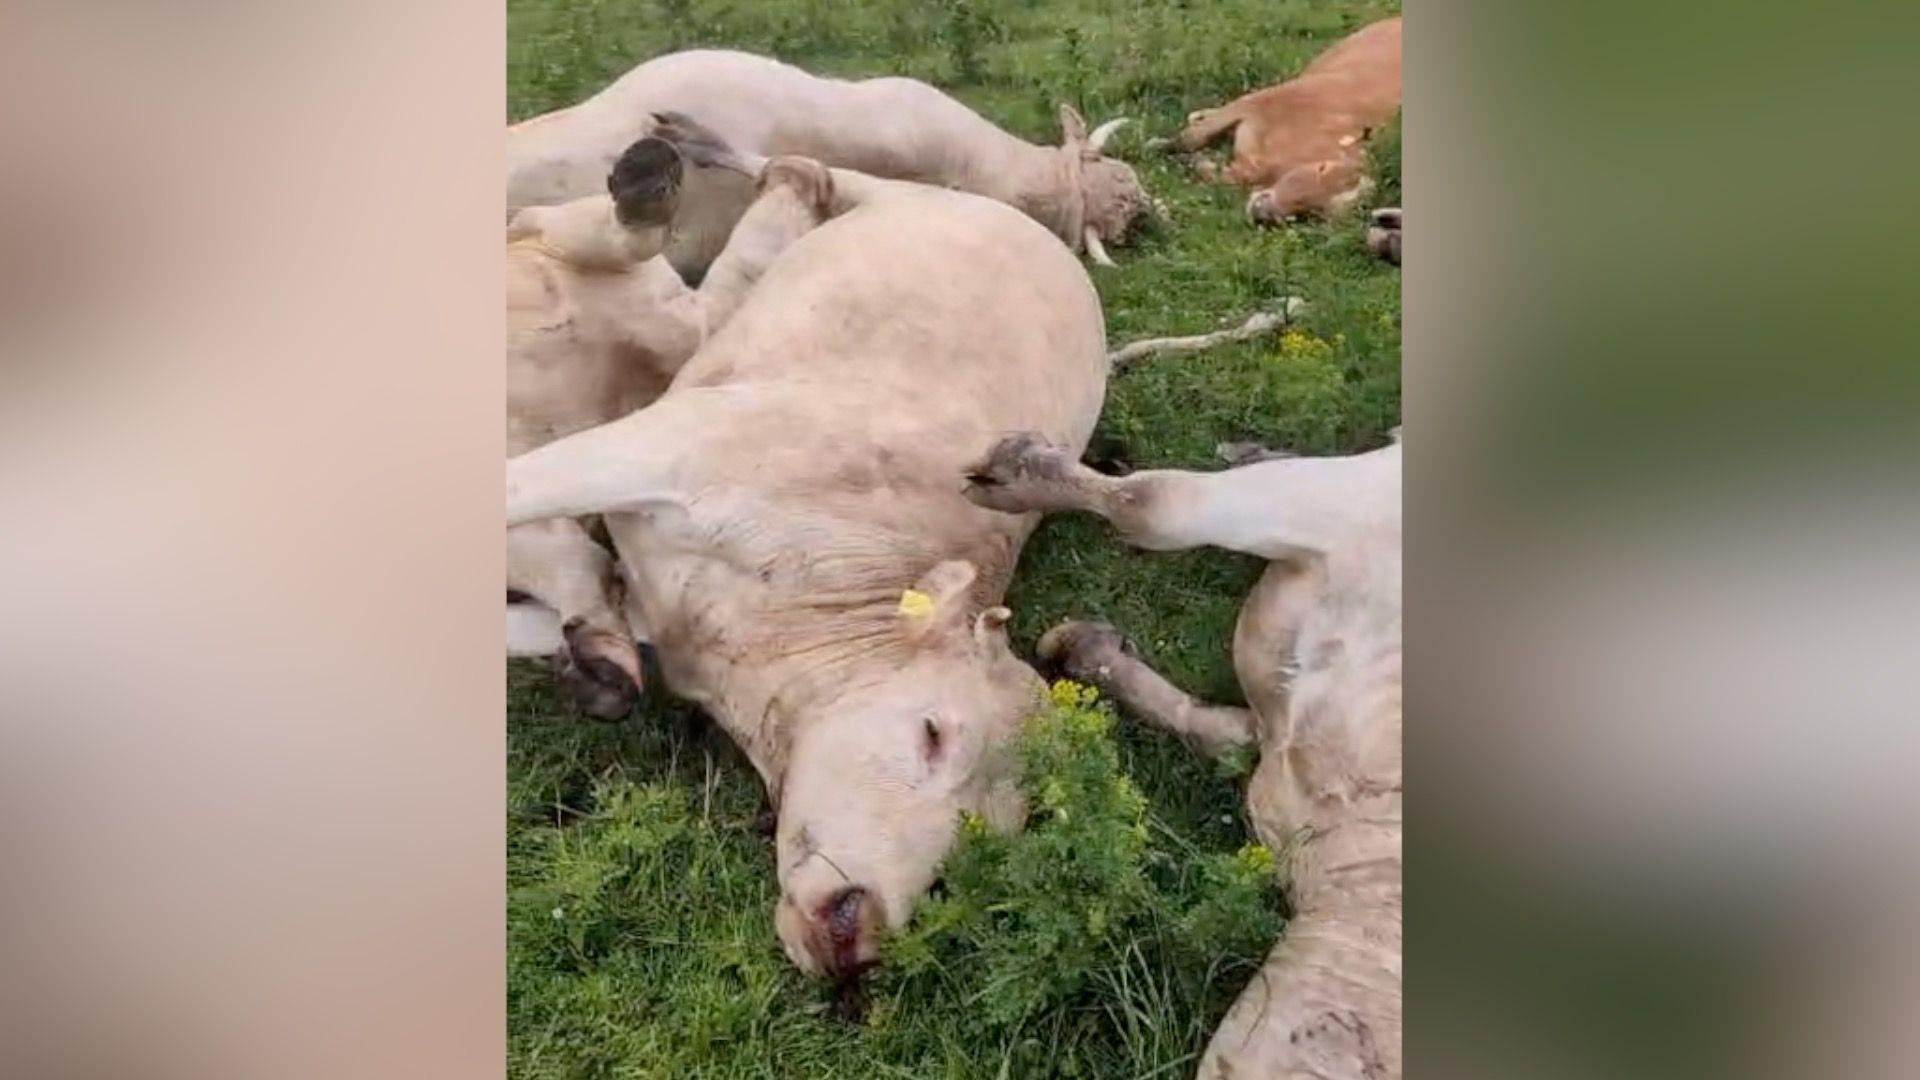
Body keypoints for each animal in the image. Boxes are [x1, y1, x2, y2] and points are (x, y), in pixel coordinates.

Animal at [1172, 16, 1401, 225]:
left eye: (1315, 215)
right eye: (1322, 169)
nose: (1265, 214)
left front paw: (1200, 163)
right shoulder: (1264, 101)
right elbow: (1192, 137)